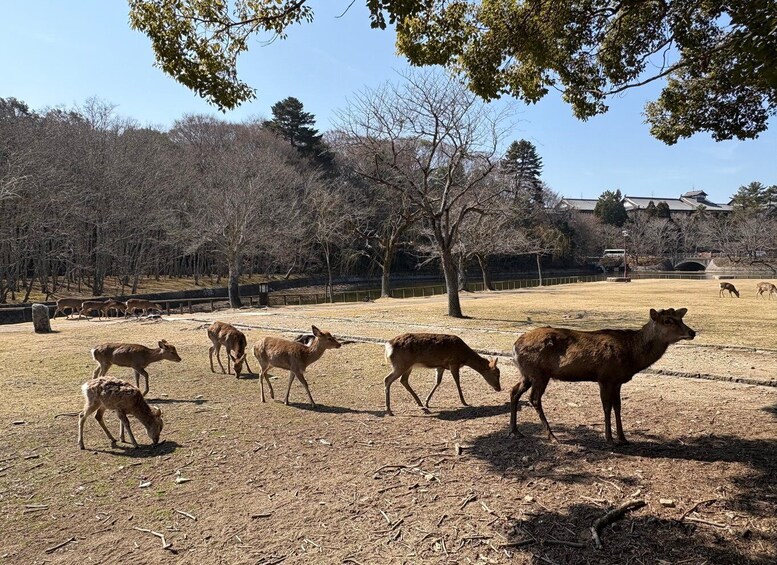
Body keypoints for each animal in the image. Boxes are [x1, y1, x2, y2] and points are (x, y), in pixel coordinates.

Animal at [510, 308, 695, 444]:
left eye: (681, 318)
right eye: (668, 320)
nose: (692, 332)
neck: (632, 356)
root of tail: (514, 345)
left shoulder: (617, 380)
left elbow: (617, 406)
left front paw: (623, 438)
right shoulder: (605, 377)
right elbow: (606, 406)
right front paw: (609, 438)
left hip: (526, 373)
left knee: (514, 391)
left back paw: (515, 431)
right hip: (539, 373)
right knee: (534, 398)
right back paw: (552, 436)